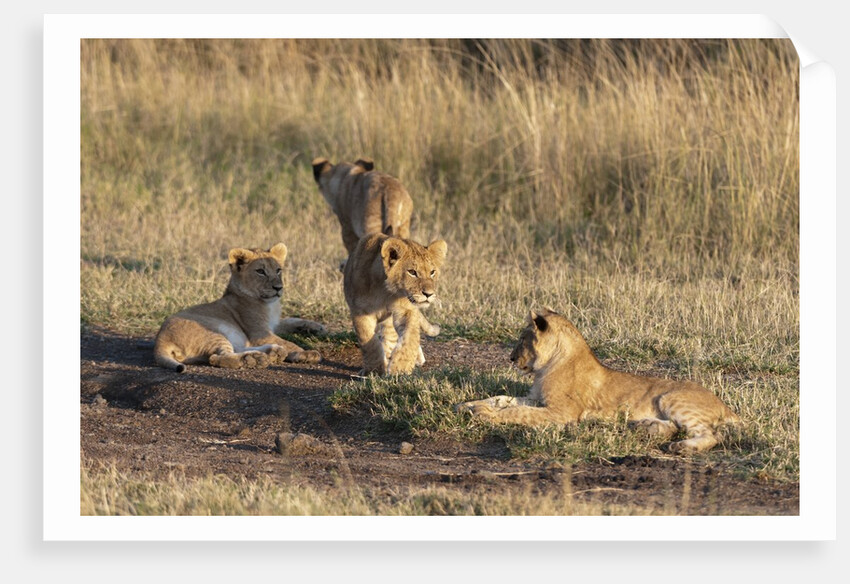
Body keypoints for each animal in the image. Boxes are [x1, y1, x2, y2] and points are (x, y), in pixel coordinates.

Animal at [153, 243, 322, 373]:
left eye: (278, 270)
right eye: (260, 271)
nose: (278, 288)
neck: (270, 304)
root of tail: (160, 339)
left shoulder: (272, 324)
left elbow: (290, 320)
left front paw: (317, 327)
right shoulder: (259, 333)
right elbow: (289, 343)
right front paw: (307, 353)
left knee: (234, 348)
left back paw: (273, 352)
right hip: (213, 332)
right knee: (217, 357)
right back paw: (254, 359)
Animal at [343, 232, 447, 376]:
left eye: (432, 272)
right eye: (412, 272)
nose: (429, 294)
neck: (384, 290)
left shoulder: (406, 309)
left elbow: (410, 338)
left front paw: (400, 368)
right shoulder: (360, 312)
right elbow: (369, 342)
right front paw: (374, 370)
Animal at [457, 309, 740, 454]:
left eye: (523, 338)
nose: (511, 358)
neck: (547, 366)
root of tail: (726, 406)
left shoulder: (563, 412)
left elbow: (517, 412)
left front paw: (484, 414)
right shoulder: (537, 398)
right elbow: (502, 398)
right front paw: (467, 405)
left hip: (673, 399)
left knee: (711, 435)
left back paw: (682, 447)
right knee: (673, 427)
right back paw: (645, 426)